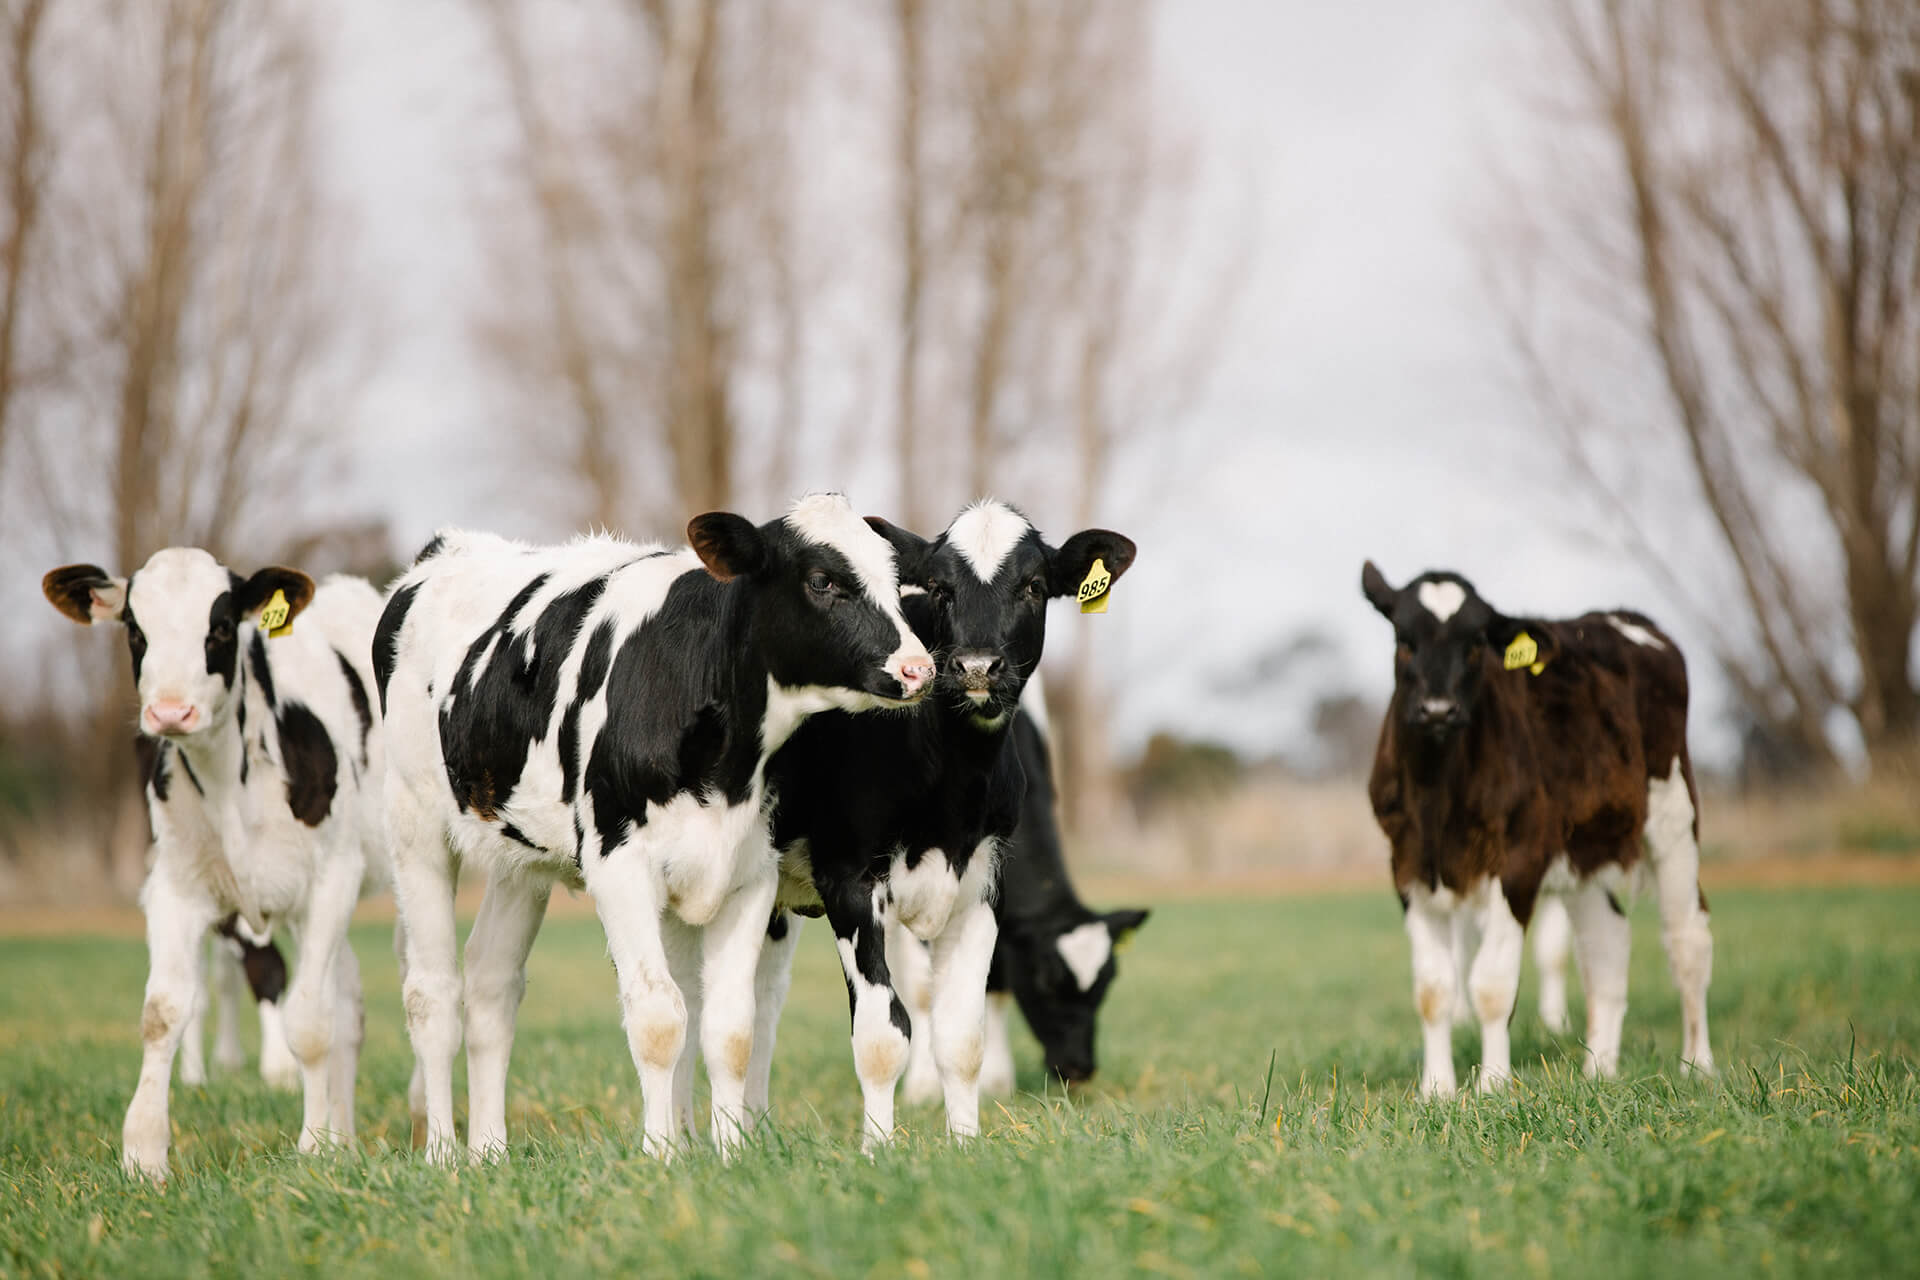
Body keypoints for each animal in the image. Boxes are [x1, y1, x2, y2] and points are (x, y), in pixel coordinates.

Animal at [44, 550, 396, 1181]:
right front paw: (144, 1153)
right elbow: (163, 1011)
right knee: (348, 1004)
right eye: (135, 630)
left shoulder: (332, 878)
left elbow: (310, 1022)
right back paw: (348, 1136)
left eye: (223, 626)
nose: (170, 711)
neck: (232, 781)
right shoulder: (175, 887)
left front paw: (312, 1145)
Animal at [373, 494, 935, 1163]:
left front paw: (730, 1152)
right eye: (823, 581)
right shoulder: (619, 865)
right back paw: (442, 1153)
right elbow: (659, 1016)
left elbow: (730, 1027)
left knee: (490, 981)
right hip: (414, 825)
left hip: (520, 860)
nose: (918, 668)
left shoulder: (749, 876)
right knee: (431, 994)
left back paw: (490, 1151)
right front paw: (662, 1153)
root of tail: (445, 547)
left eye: (897, 581)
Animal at [890, 678, 1149, 1100]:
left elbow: (993, 984)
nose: (1079, 1068)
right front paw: (924, 1087)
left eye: (1107, 983)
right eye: (1045, 981)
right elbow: (925, 990)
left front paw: (996, 1082)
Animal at [1360, 561, 1715, 1098]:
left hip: (1674, 816)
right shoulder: (1407, 866)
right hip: (1584, 848)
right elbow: (1433, 989)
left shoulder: (1519, 860)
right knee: (1607, 943)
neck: (1437, 796)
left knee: (1687, 939)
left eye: (1476, 642)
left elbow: (1491, 984)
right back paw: (1599, 1071)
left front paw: (1491, 1086)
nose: (1438, 709)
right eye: (1404, 638)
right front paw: (1436, 1091)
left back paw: (1698, 1066)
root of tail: (1623, 618)